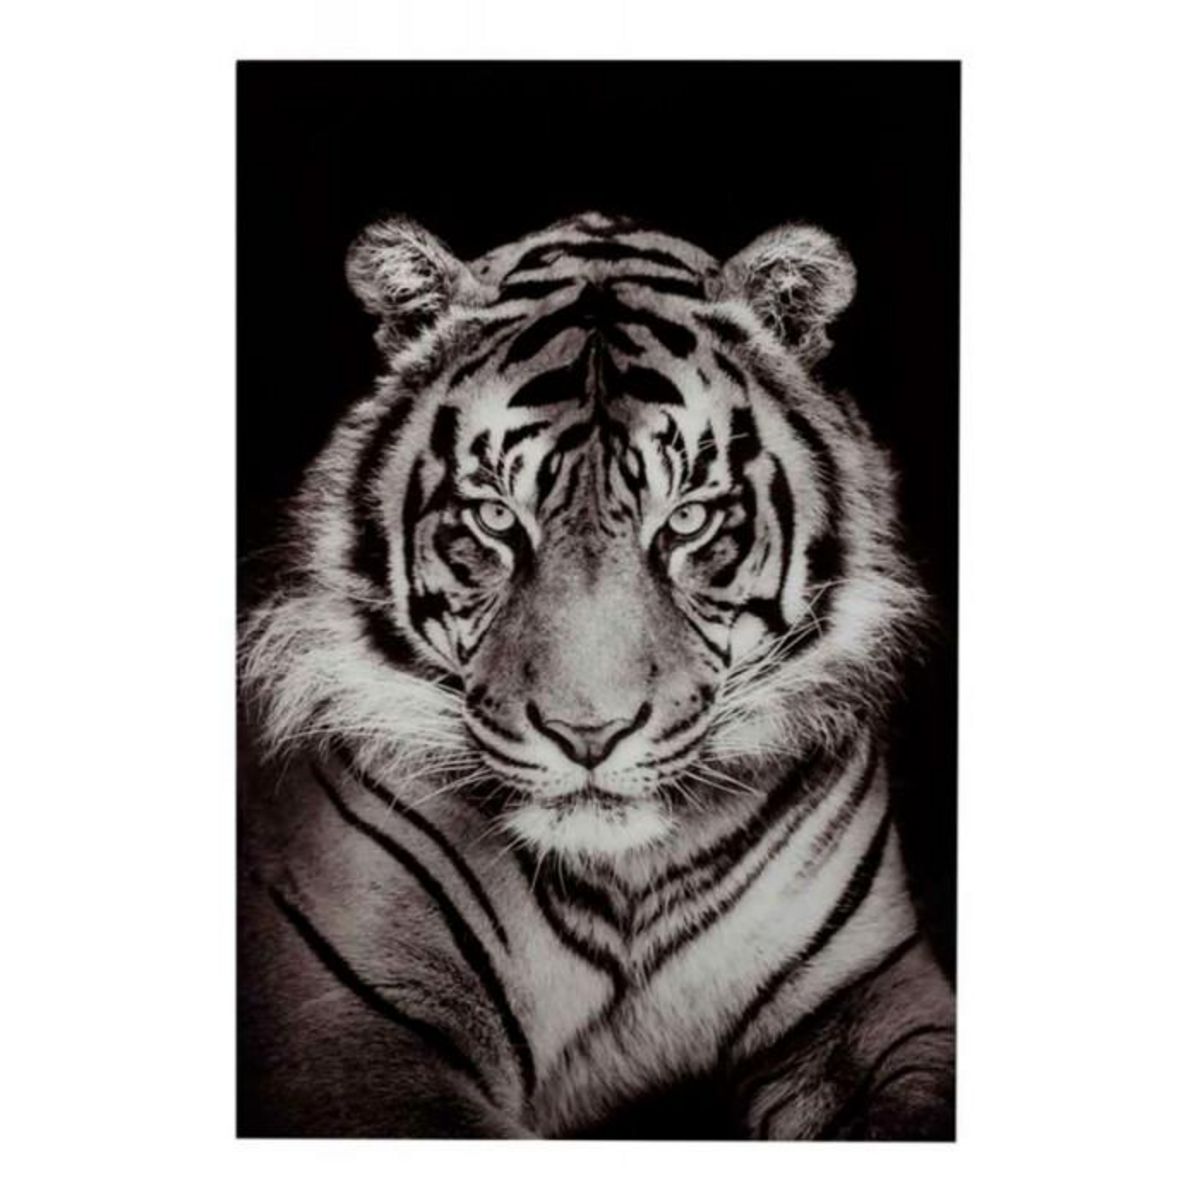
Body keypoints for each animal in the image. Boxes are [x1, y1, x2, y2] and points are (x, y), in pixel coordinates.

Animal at [238, 211, 955, 1139]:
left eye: (687, 520)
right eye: (495, 517)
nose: (588, 734)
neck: (626, 886)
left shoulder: (880, 993)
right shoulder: (356, 1036)